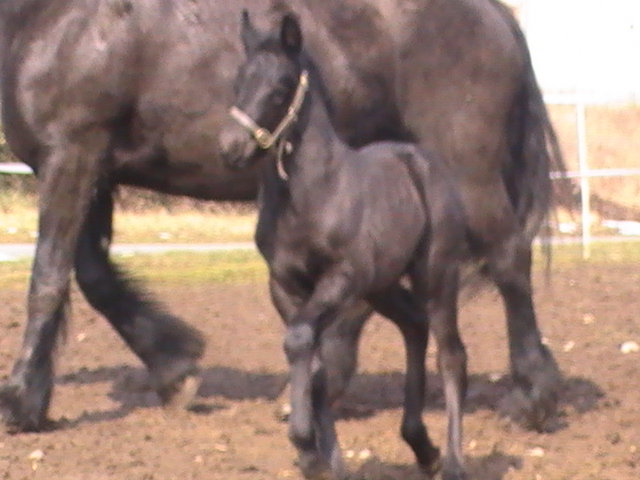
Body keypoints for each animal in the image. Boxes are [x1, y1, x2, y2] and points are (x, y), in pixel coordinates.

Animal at [0, 0, 564, 434]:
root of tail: (494, 14)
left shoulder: (73, 155)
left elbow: (48, 276)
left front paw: (21, 398)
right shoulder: (90, 170)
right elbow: (92, 275)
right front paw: (174, 370)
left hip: (468, 171)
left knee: (510, 260)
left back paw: (532, 397)